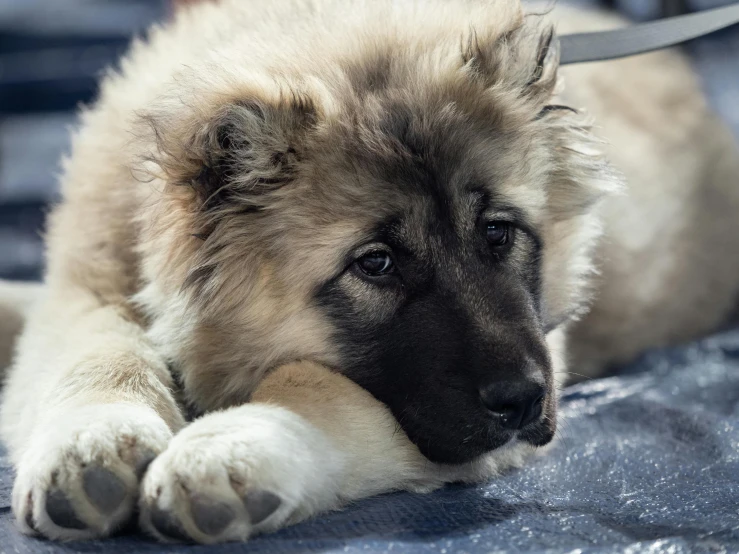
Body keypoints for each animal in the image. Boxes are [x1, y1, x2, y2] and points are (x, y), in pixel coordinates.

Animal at [1, 0, 739, 544]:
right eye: (375, 263)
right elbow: (94, 352)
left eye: (498, 232)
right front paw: (93, 442)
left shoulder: (531, 362)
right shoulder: (86, 284)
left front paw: (230, 450)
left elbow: (323, 390)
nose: (524, 401)